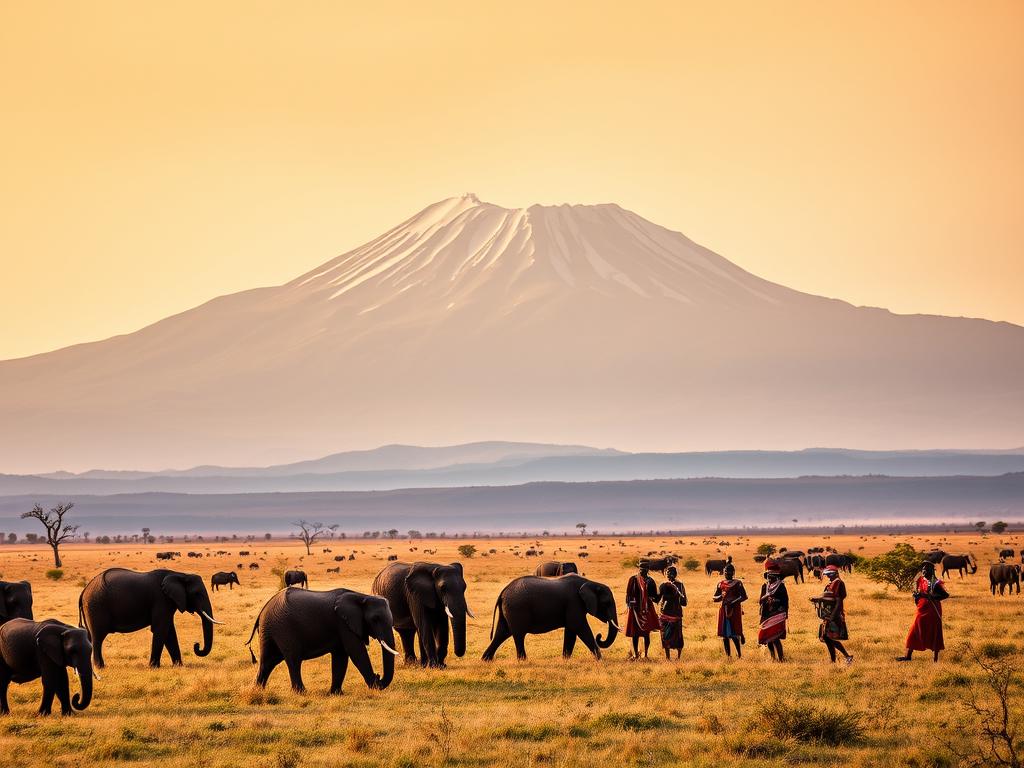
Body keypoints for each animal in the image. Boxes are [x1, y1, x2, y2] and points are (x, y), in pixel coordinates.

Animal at [79, 568, 221, 668]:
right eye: (197, 594)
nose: (196, 645)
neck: (180, 574)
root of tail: (84, 590)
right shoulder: (161, 600)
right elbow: (161, 630)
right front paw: (154, 667)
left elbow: (169, 632)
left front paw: (179, 666)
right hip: (96, 607)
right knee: (97, 638)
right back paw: (100, 667)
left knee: (90, 637)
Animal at [246, 587, 398, 694]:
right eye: (375, 619)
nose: (378, 677)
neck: (362, 597)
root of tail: (262, 611)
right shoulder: (343, 623)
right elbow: (356, 651)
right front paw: (375, 686)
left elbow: (341, 656)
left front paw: (336, 694)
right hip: (283, 628)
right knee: (293, 659)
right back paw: (301, 693)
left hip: (269, 630)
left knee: (268, 661)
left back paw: (257, 691)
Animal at [481, 574, 618, 661]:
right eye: (607, 603)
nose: (599, 636)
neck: (591, 582)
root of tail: (503, 592)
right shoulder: (574, 603)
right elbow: (579, 627)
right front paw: (601, 660)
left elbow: (571, 632)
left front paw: (565, 660)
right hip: (516, 609)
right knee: (518, 635)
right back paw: (523, 661)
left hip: (508, 610)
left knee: (502, 633)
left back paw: (485, 660)